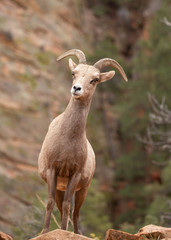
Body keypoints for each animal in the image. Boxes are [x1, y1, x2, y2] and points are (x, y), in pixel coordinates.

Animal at [38, 48, 127, 234]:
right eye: (74, 73)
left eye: (95, 79)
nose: (76, 88)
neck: (67, 139)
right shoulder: (52, 171)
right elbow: (50, 203)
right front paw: (45, 232)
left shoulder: (75, 174)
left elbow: (67, 207)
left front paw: (63, 232)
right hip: (61, 187)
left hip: (82, 190)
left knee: (75, 212)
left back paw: (77, 233)